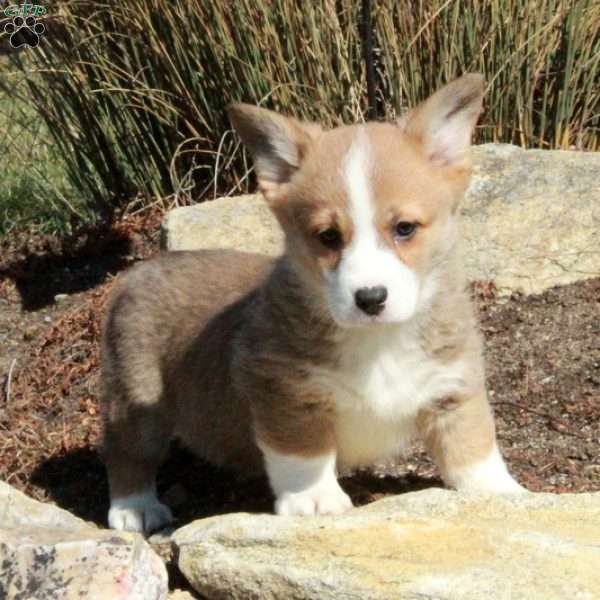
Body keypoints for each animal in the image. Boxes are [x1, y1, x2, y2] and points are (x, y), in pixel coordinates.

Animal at [101, 72, 524, 532]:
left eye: (405, 228)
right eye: (328, 236)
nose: (370, 298)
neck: (378, 342)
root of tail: (137, 271)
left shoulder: (452, 388)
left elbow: (473, 448)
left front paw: (499, 494)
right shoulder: (285, 394)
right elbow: (304, 454)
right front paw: (315, 500)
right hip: (136, 400)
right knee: (126, 454)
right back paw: (136, 508)